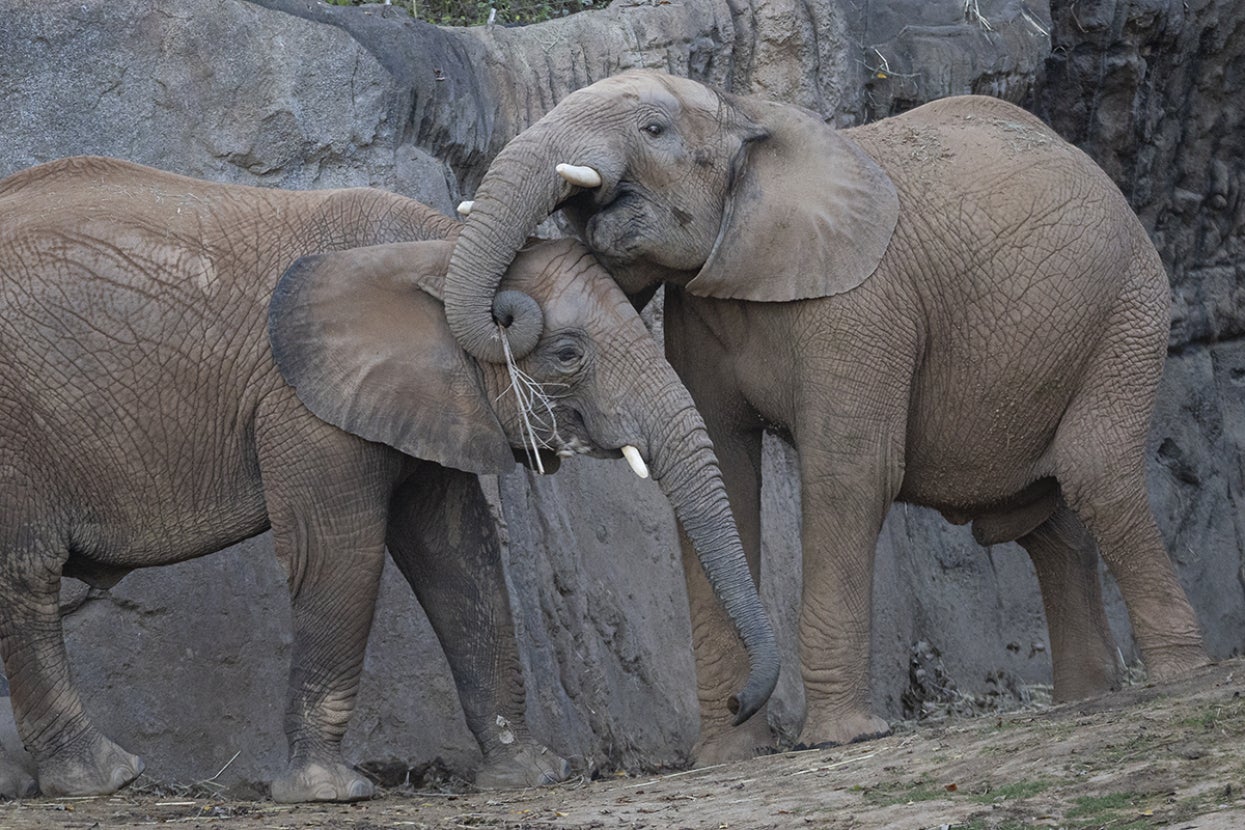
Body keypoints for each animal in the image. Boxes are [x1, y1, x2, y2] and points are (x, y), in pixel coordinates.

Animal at [0, 155, 778, 799]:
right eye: (566, 354)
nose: (738, 703)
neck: (443, 252)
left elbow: (456, 555)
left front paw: (532, 774)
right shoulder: (302, 399)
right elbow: (339, 554)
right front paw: (328, 792)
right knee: (27, 577)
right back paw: (104, 778)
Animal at [439, 70, 1210, 763]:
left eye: (653, 129)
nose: (739, 702)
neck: (749, 111)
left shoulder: (861, 306)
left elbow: (848, 473)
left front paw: (841, 738)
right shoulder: (701, 310)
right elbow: (727, 476)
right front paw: (725, 757)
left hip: (1129, 309)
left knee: (1095, 473)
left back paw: (1181, 678)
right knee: (1048, 523)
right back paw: (1088, 696)